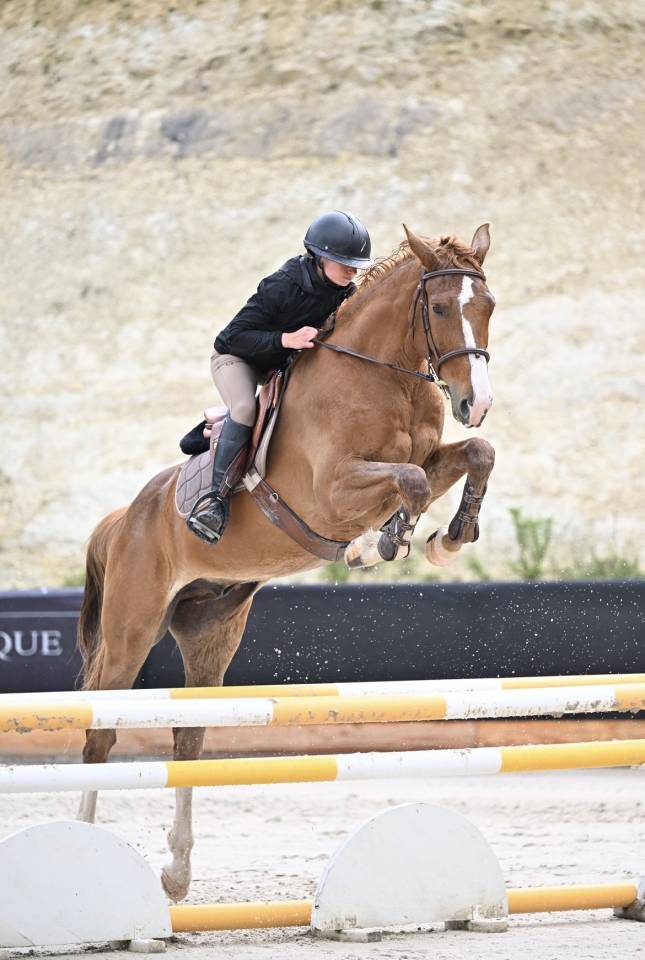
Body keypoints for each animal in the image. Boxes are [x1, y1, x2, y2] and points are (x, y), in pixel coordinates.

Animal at [76, 223, 496, 901]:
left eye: (488, 307)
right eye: (437, 309)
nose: (475, 402)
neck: (390, 378)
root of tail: (123, 519)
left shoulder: (432, 458)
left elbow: (473, 454)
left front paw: (446, 538)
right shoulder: (332, 493)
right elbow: (404, 482)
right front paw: (379, 544)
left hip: (211, 628)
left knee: (189, 736)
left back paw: (176, 873)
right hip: (130, 629)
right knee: (100, 728)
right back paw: (89, 846)